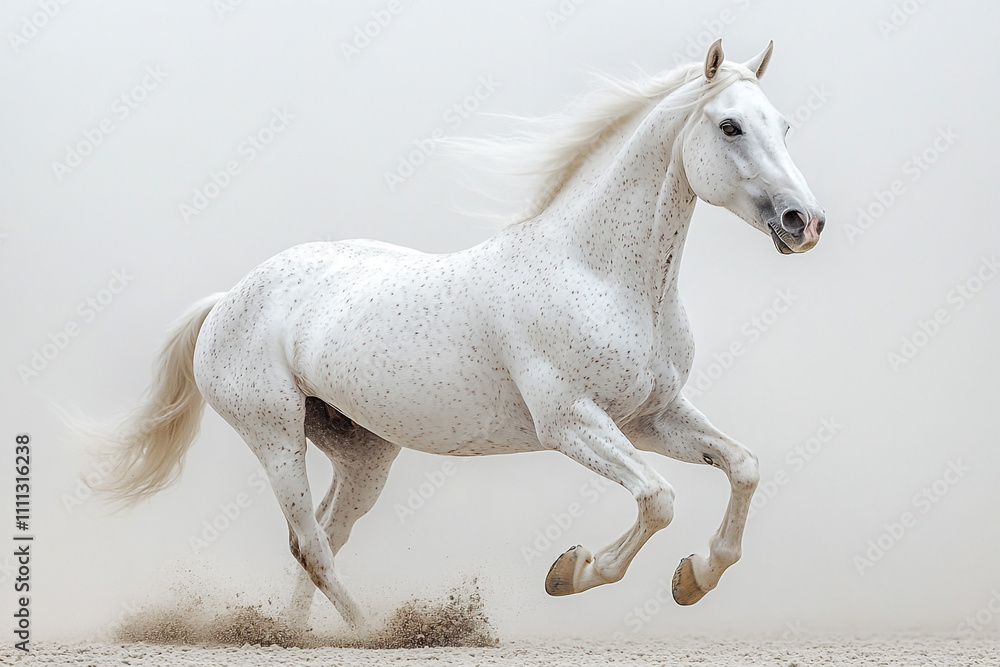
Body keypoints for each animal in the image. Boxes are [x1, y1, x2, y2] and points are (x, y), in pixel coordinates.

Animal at [89, 39, 824, 631]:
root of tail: (228, 300)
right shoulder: (571, 421)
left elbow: (743, 466)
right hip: (274, 436)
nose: (804, 222)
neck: (603, 274)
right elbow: (658, 499)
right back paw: (368, 632)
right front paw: (572, 571)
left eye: (784, 126)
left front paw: (695, 577)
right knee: (311, 544)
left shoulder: (650, 417)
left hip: (364, 453)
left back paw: (300, 635)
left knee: (324, 536)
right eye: (729, 124)